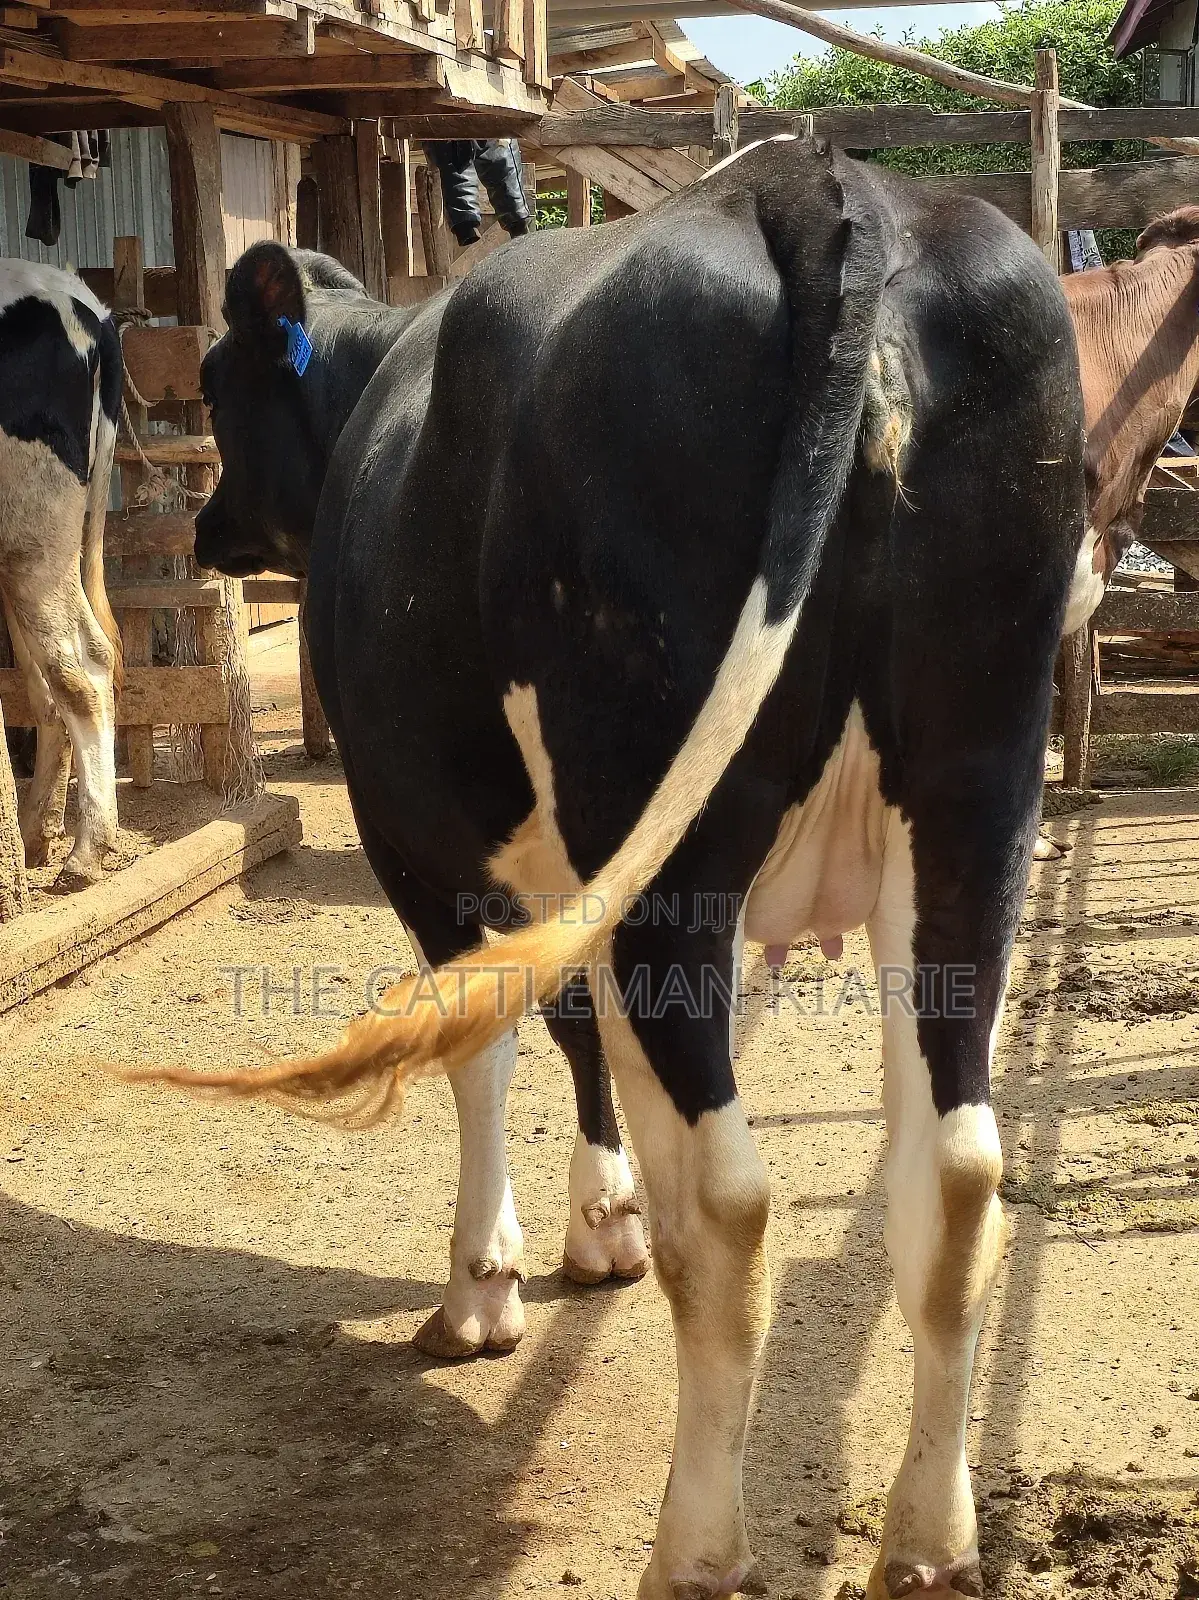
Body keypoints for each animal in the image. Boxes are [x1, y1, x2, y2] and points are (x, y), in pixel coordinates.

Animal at [127, 140, 1087, 1598]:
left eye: (222, 389)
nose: (206, 531)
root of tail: (825, 188)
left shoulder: (427, 844)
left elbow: (484, 1049)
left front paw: (481, 1289)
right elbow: (576, 1035)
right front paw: (600, 1223)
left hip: (668, 850)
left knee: (733, 1200)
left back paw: (694, 1547)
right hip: (971, 809)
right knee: (953, 1171)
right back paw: (927, 1538)